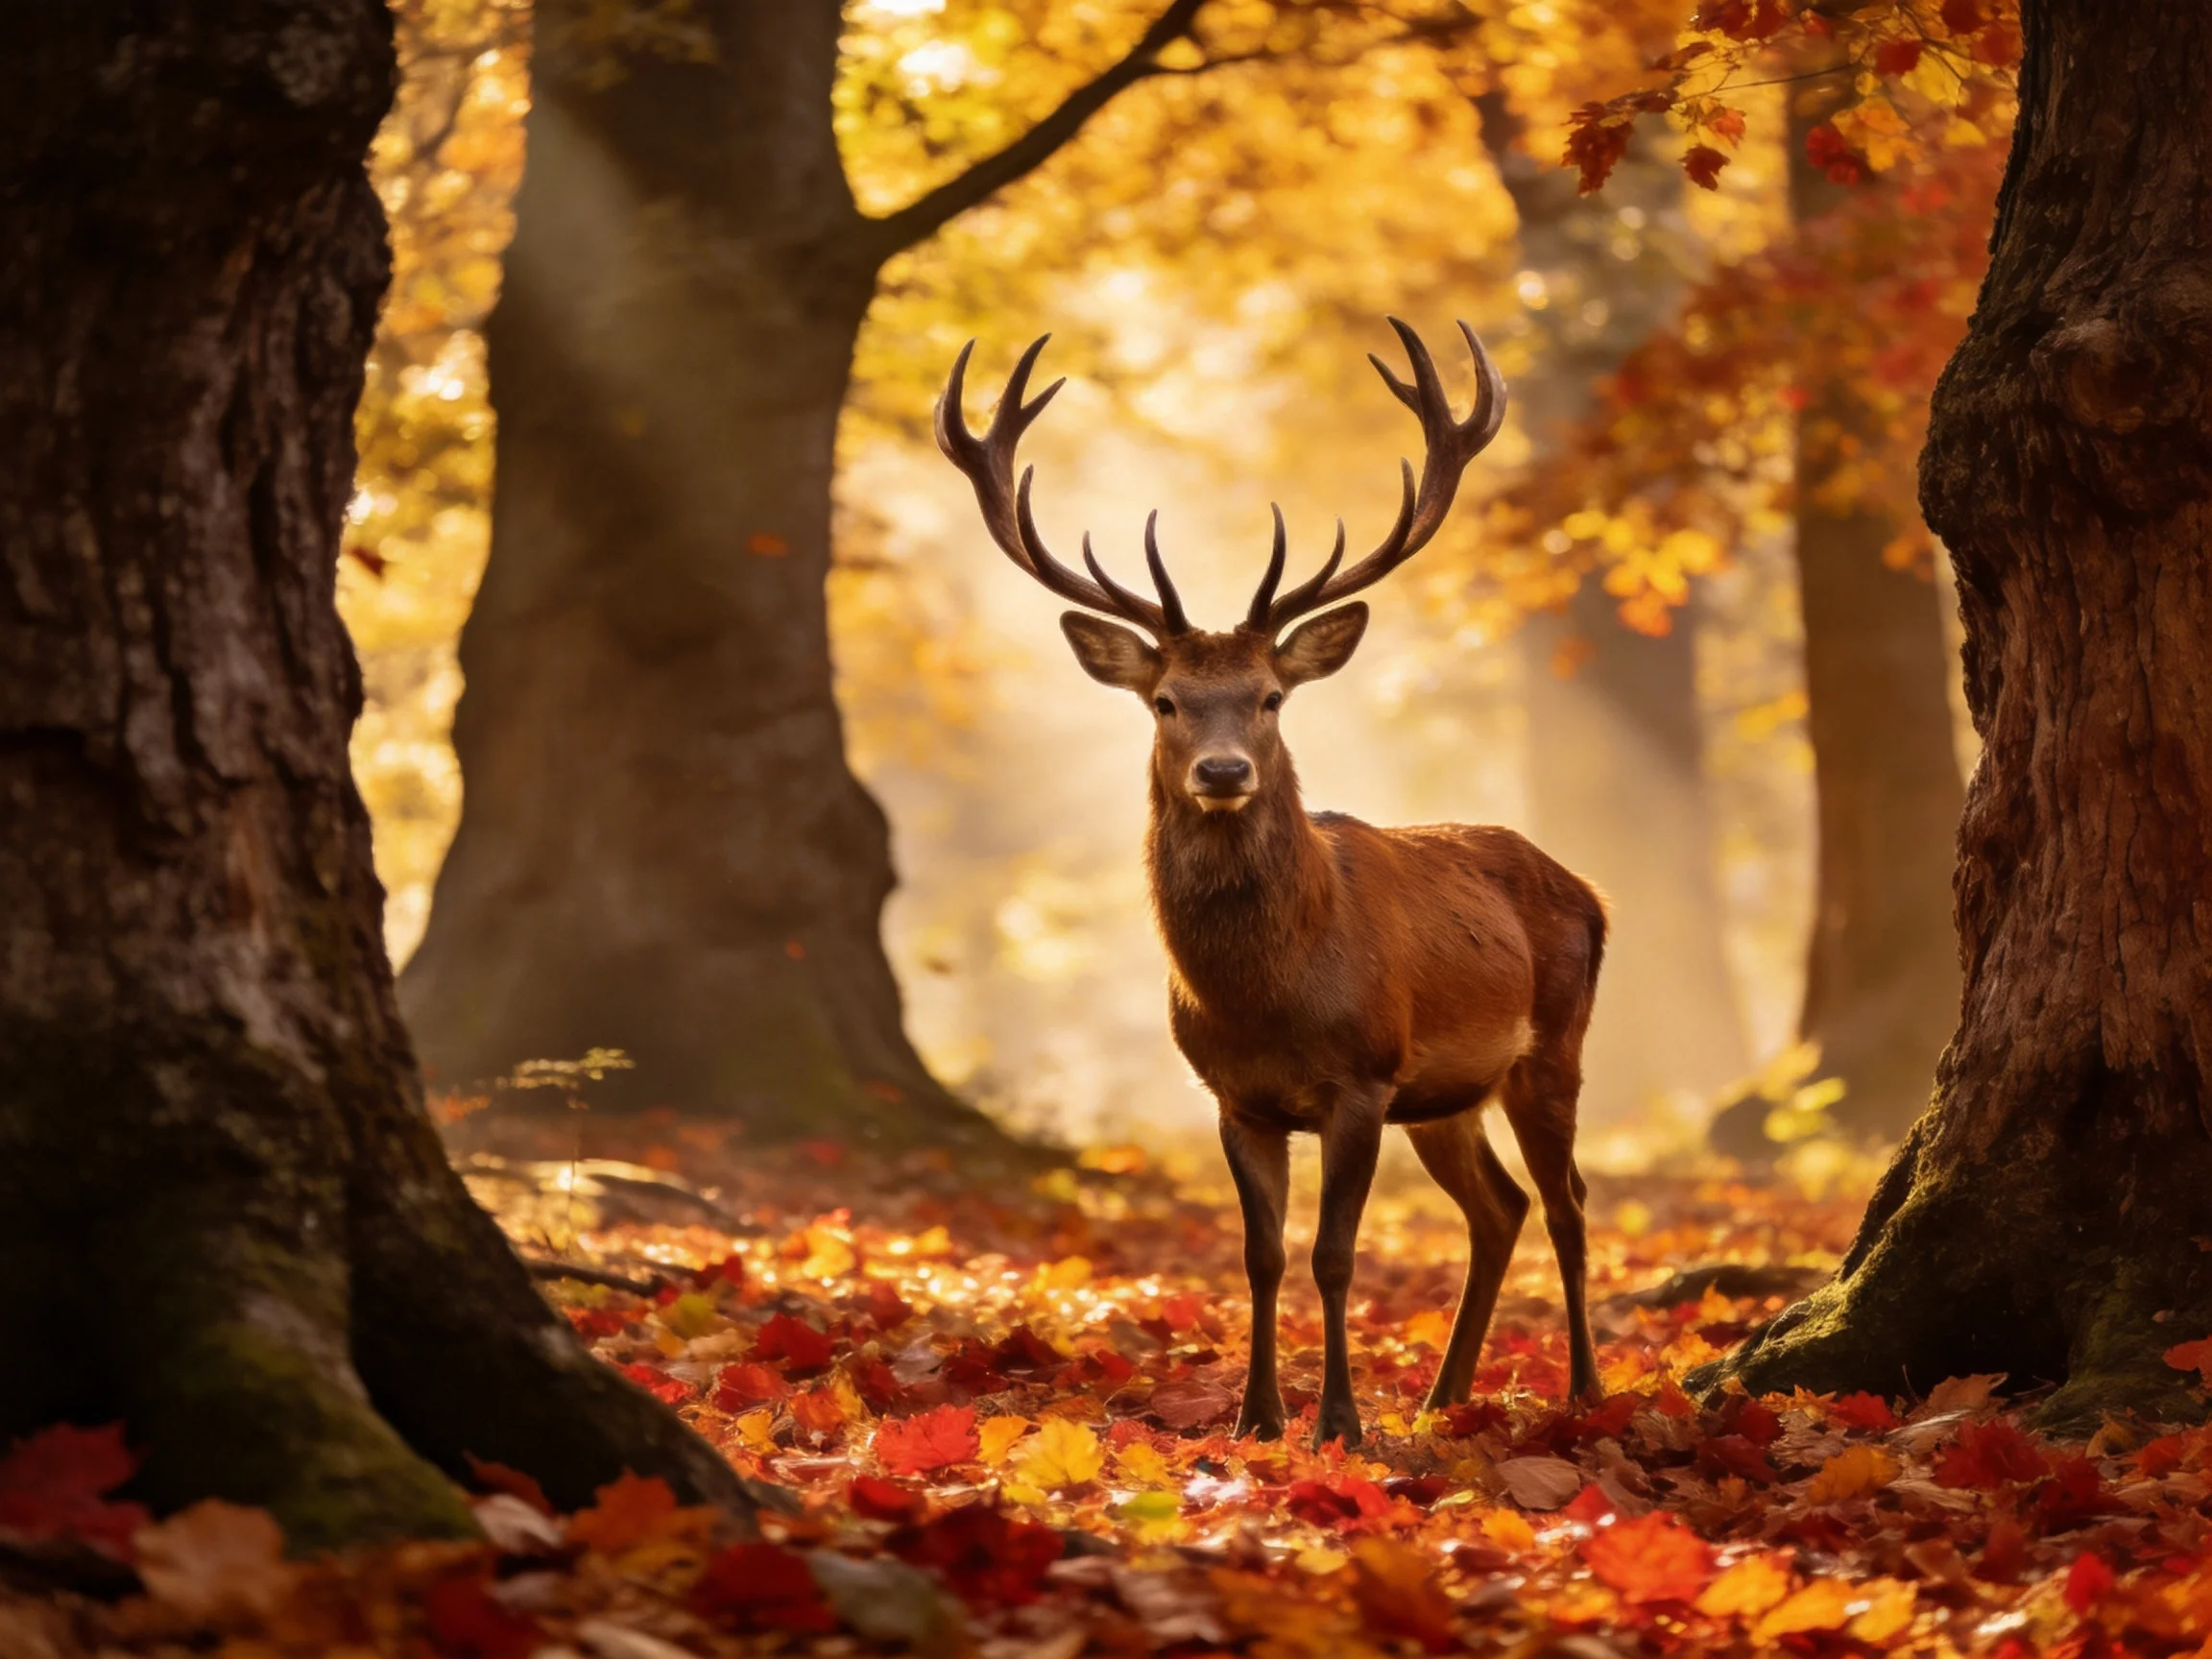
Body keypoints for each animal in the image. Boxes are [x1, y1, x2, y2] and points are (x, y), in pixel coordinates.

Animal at [937, 320, 1606, 1448]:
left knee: (1567, 1205)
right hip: (1445, 1097)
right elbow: (1260, 1257)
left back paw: (1586, 1393)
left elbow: (1334, 1255)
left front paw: (1338, 1421)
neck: (1265, 995)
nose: (1222, 772)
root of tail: (1588, 889)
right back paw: (1445, 1396)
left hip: (1551, 1044)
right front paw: (1257, 1418)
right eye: (1165, 700)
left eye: (1270, 698)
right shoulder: (1232, 1095)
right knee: (1499, 1207)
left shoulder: (1361, 1076)